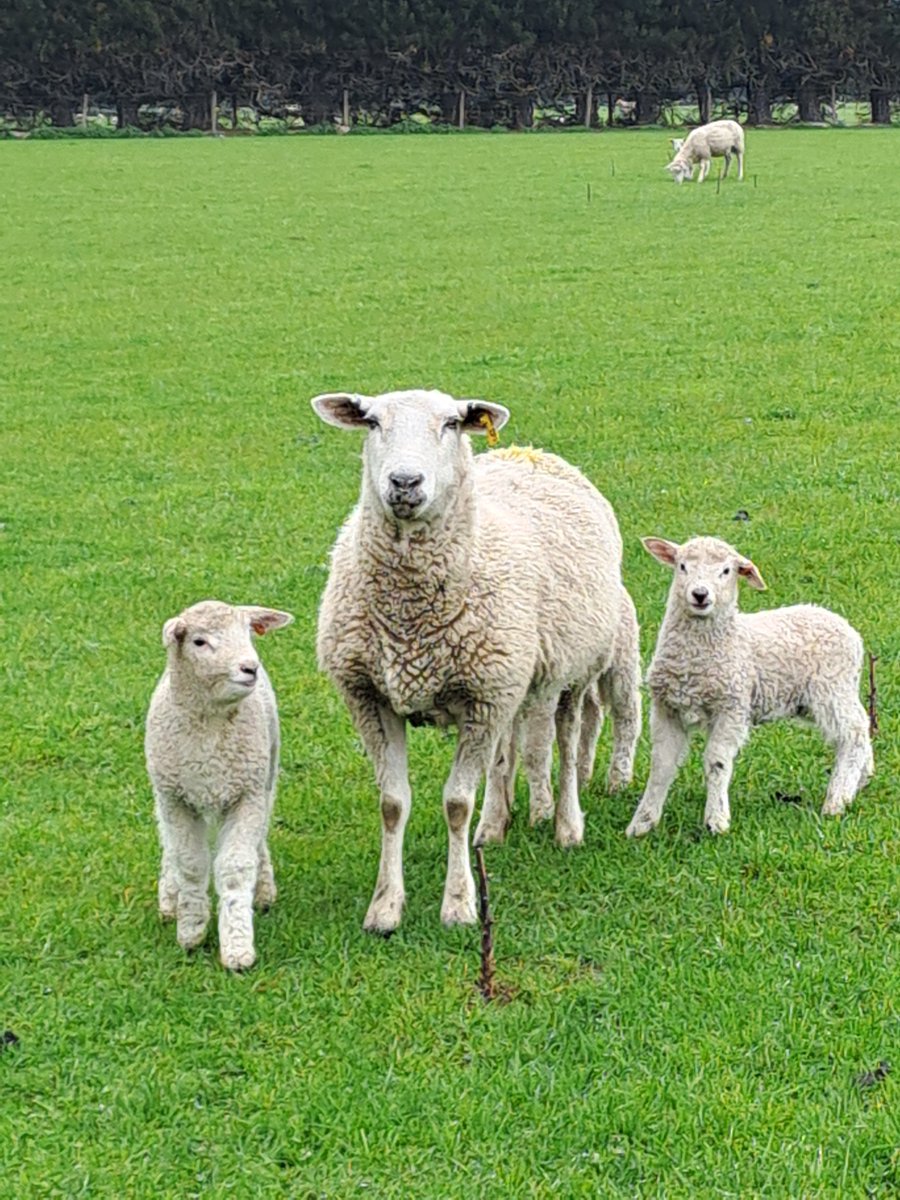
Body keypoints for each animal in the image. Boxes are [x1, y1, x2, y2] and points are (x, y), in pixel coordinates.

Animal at [145, 600, 294, 969]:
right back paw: (169, 896)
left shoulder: (247, 793)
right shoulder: (175, 798)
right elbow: (189, 863)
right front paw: (191, 929)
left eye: (247, 633)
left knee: (260, 836)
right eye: (199, 642)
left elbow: (235, 867)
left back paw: (264, 889)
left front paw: (237, 945)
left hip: (266, 773)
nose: (250, 668)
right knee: (167, 840)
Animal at [312, 390, 641, 933]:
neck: (411, 615)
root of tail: (530, 452)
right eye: (373, 422)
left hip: (571, 668)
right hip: (511, 678)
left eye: (451, 423)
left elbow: (456, 803)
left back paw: (567, 824)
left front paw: (460, 902)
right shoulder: (370, 697)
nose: (405, 482)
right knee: (507, 753)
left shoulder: (484, 698)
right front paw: (385, 907)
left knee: (570, 740)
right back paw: (495, 823)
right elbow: (392, 803)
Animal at [626, 536, 873, 838]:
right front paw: (642, 823)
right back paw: (861, 779)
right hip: (822, 696)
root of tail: (848, 628)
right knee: (860, 724)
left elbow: (716, 762)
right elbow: (661, 765)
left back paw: (837, 798)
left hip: (831, 688)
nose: (700, 594)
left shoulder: (732, 706)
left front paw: (716, 820)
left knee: (854, 733)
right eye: (682, 566)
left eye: (726, 571)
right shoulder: (667, 708)